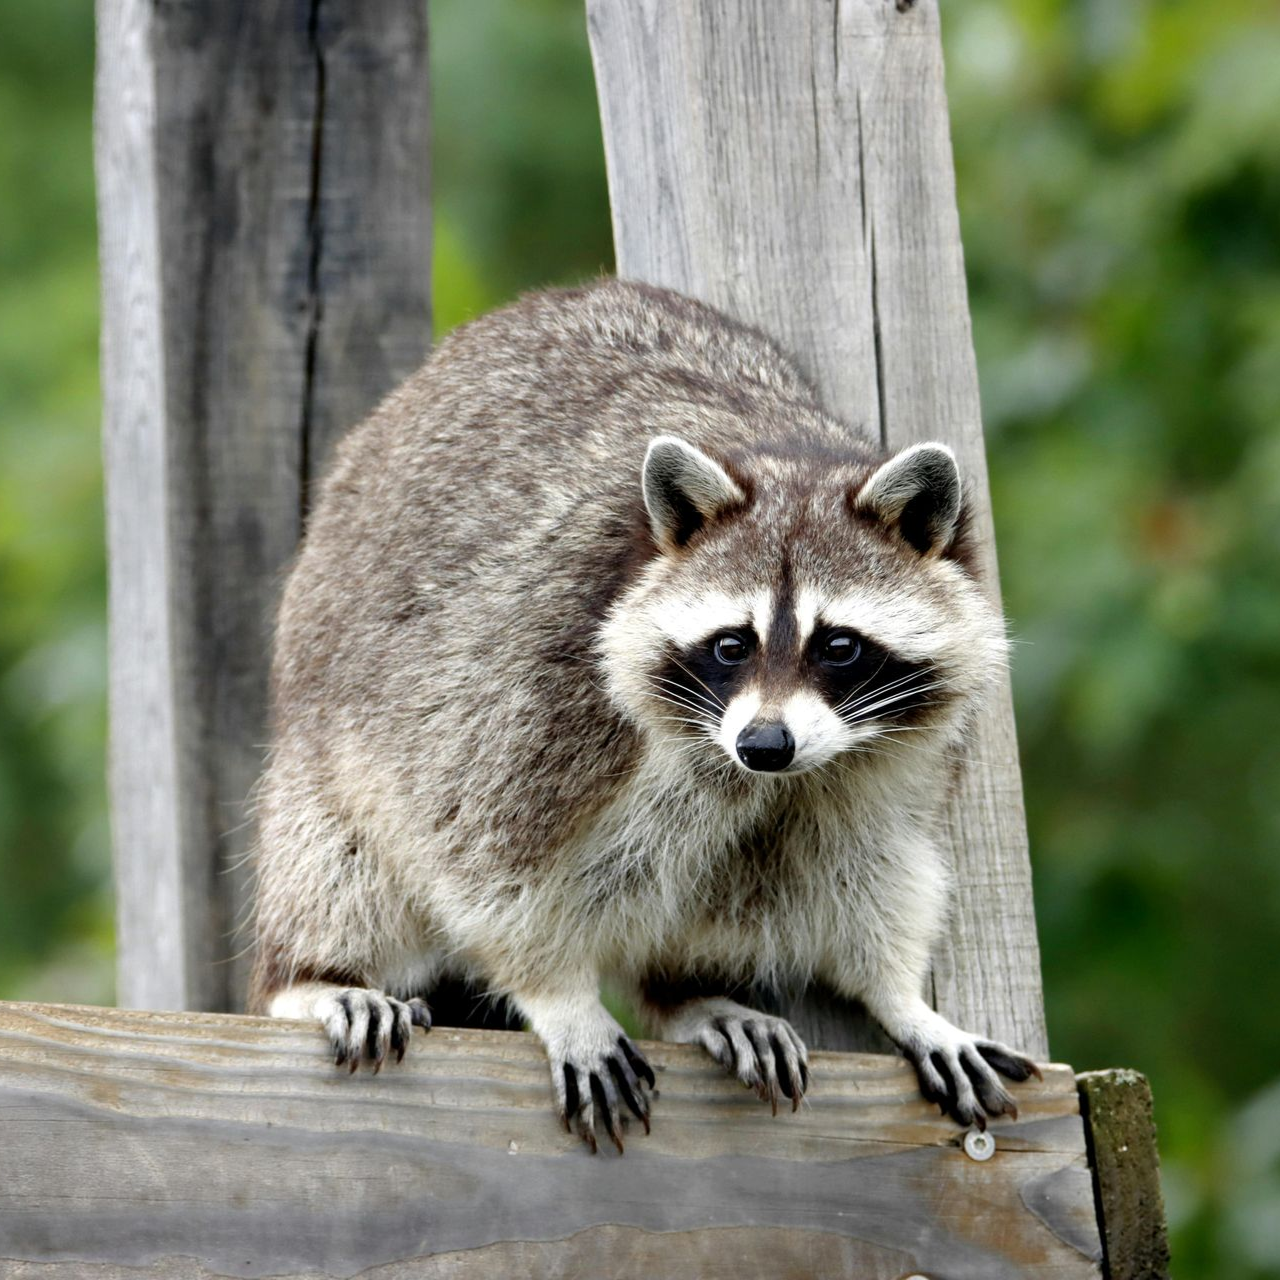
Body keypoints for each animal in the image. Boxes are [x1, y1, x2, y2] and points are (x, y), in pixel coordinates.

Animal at [249, 278, 1039, 1151]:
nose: (765, 744)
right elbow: (482, 857)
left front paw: (898, 995)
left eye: (839, 646)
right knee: (339, 858)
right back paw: (312, 974)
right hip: (327, 735)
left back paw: (690, 992)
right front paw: (558, 992)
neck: (788, 455)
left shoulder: (884, 758)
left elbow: (872, 862)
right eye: (731, 644)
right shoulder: (534, 680)